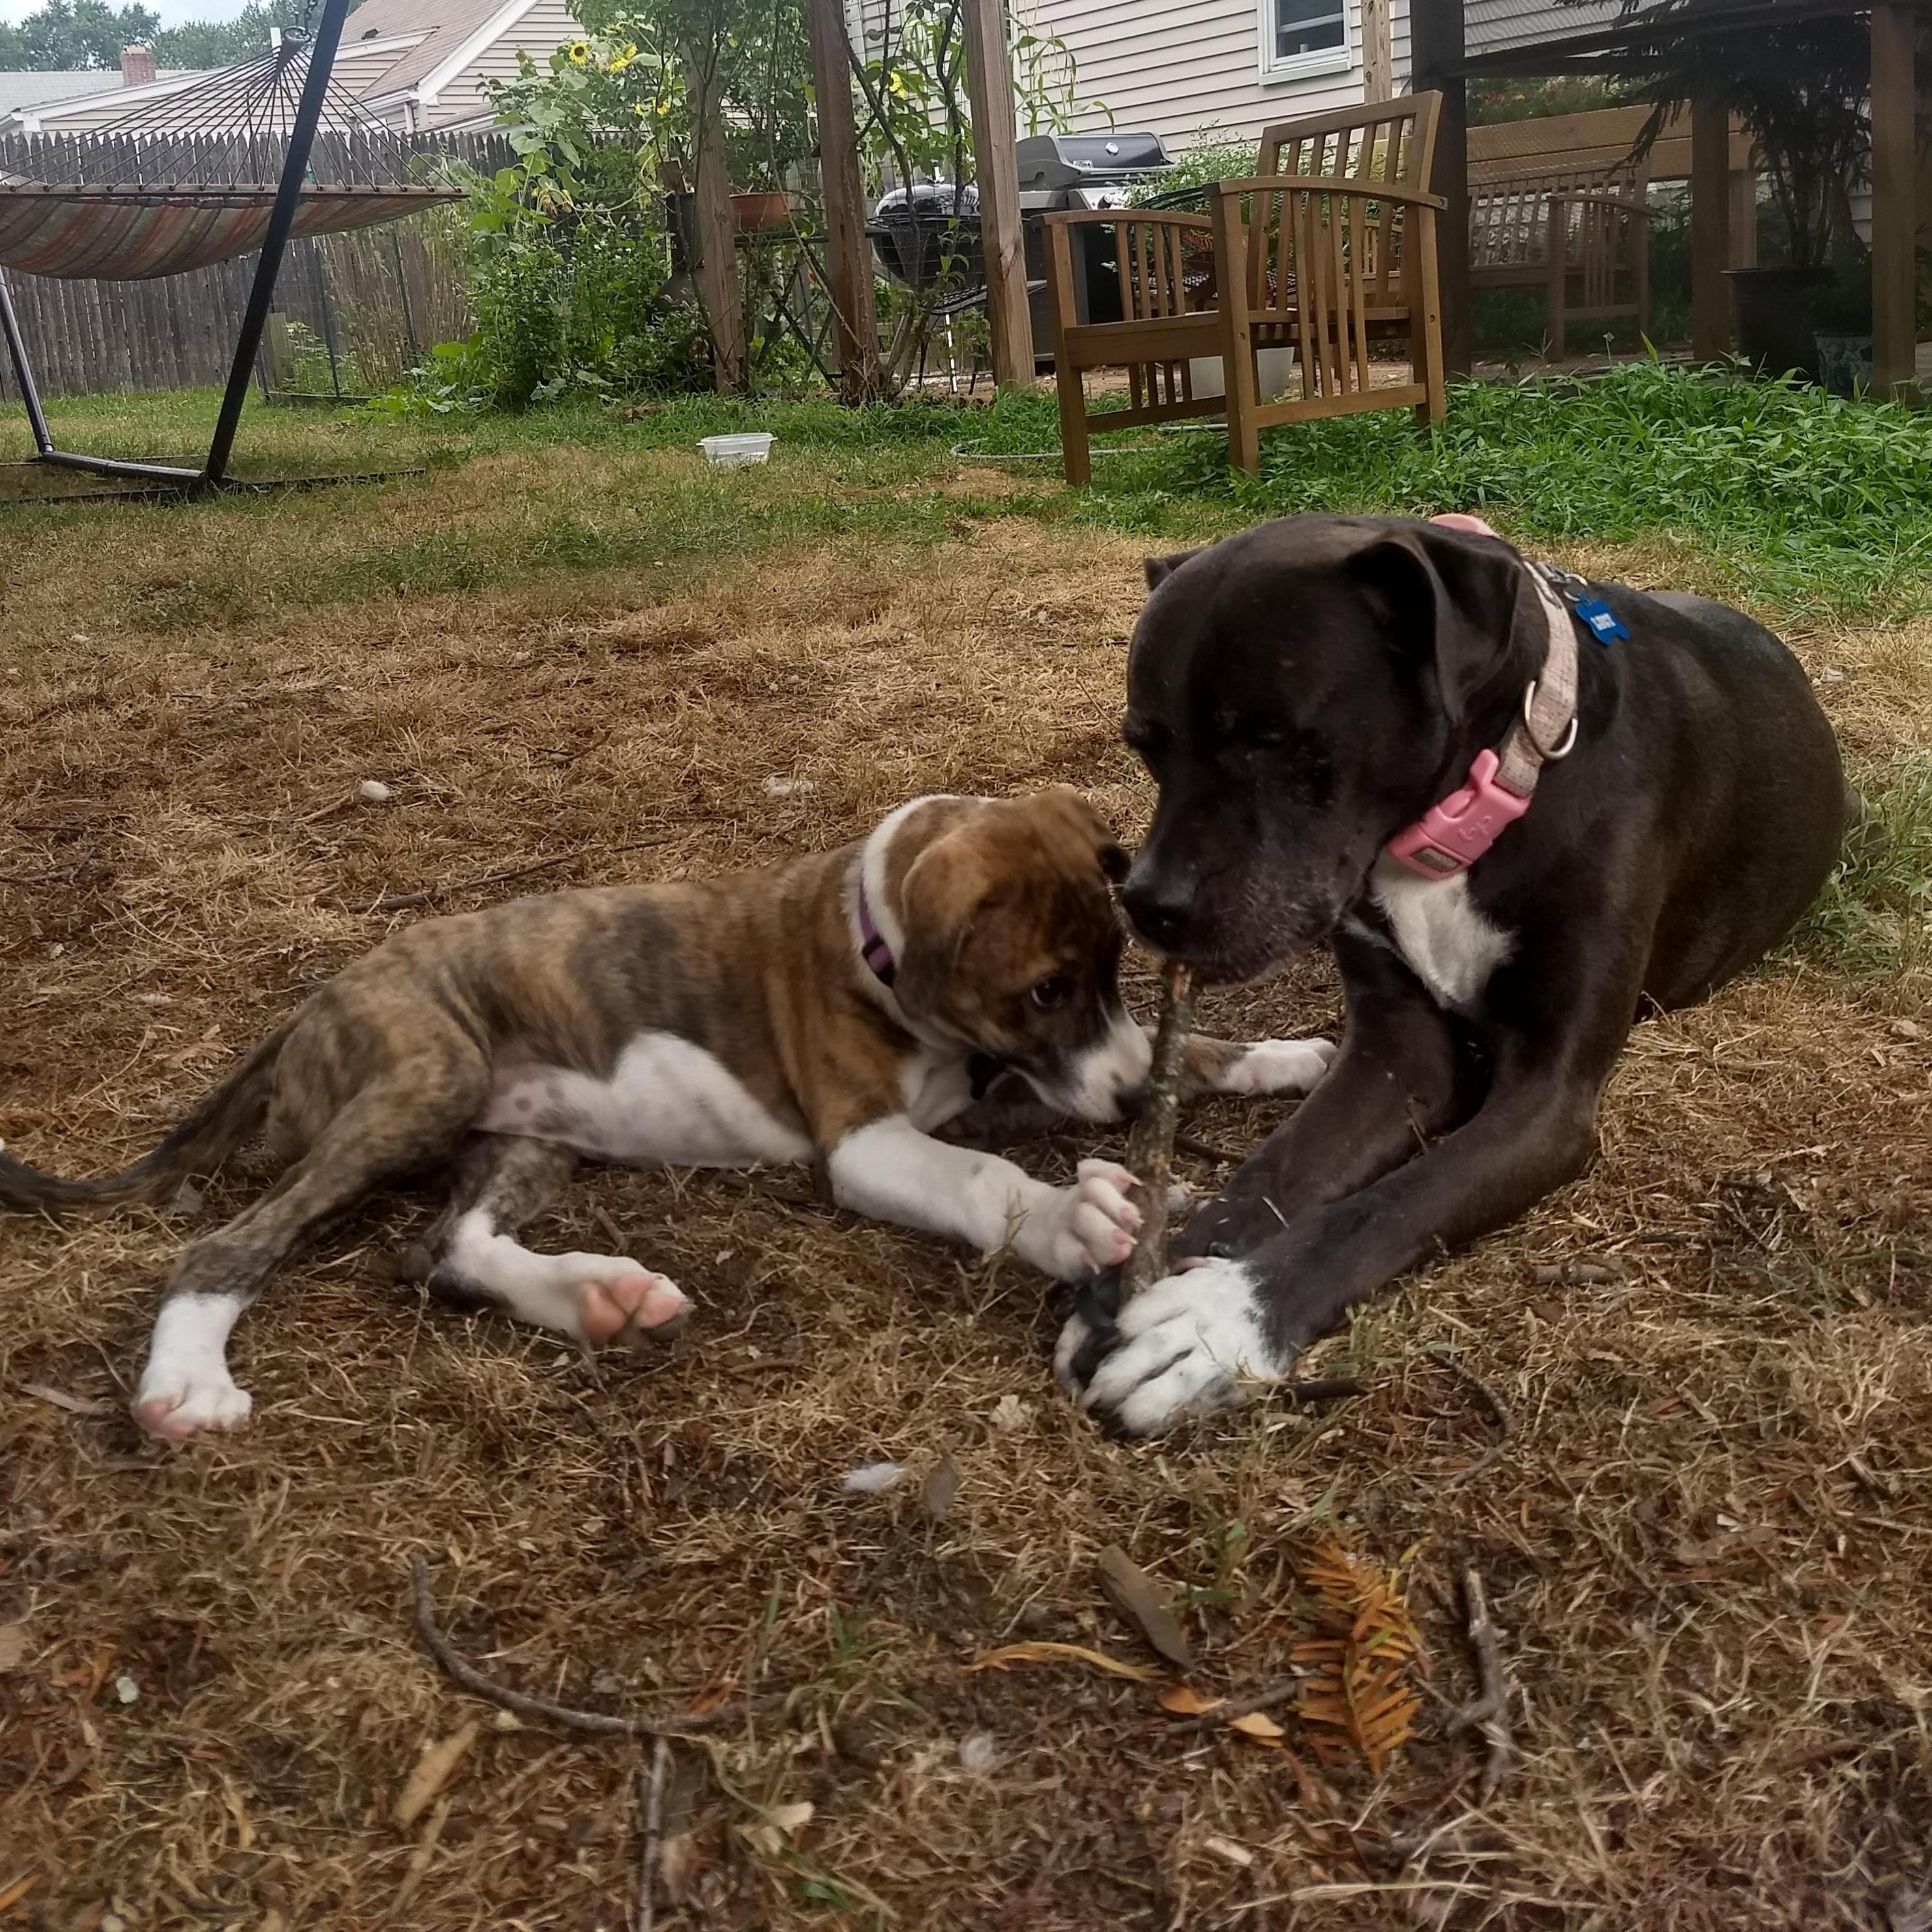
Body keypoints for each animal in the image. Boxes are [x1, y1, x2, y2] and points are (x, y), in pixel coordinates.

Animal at [1066, 513, 1847, 1437]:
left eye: (1271, 737)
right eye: (1145, 746)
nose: (1147, 905)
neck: (1478, 802)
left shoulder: (1548, 1098)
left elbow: (1388, 1204)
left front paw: (1216, 1323)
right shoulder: (1395, 1054)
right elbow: (1273, 1170)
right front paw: (1137, 1280)